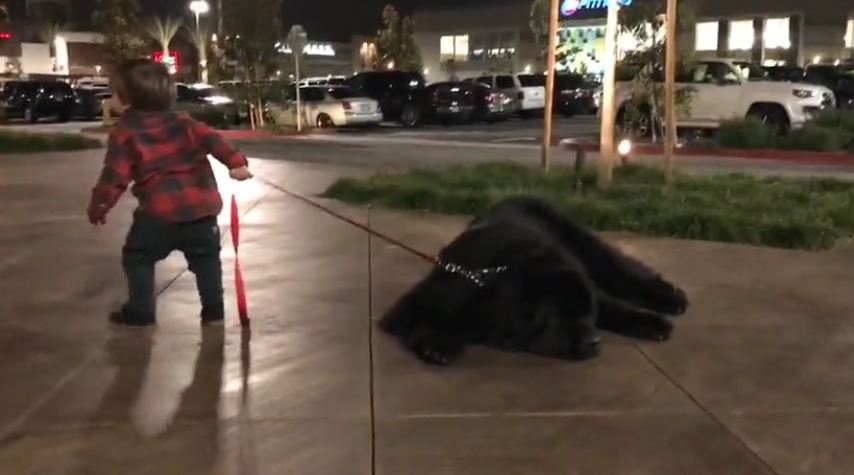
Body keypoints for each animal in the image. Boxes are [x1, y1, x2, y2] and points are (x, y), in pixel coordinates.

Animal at [384, 196, 692, 364]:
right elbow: (424, 316)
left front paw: (653, 324)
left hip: (587, 247)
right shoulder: (428, 297)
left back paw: (671, 298)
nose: (594, 342)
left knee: (626, 274)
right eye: (557, 315)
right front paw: (438, 344)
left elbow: (615, 307)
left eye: (585, 312)